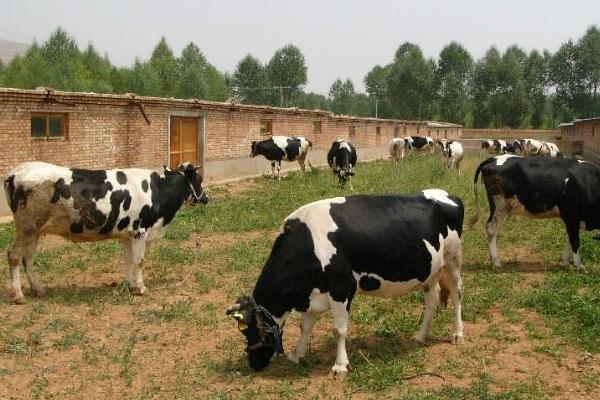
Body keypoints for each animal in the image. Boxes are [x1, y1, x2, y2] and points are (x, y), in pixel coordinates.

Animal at [4, 160, 209, 304]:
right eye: (199, 179)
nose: (206, 198)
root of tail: (15, 172)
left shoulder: (128, 234)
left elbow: (128, 261)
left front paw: (129, 285)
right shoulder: (140, 231)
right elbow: (139, 261)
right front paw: (141, 288)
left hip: (34, 230)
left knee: (28, 257)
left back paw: (37, 289)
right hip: (27, 227)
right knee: (14, 255)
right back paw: (18, 295)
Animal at [225, 191, 464, 378]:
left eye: (249, 331)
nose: (253, 363)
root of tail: (448, 195)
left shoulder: (341, 290)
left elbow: (339, 330)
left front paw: (340, 366)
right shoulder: (315, 293)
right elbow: (305, 326)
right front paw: (296, 355)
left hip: (453, 260)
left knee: (456, 293)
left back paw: (458, 334)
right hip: (431, 270)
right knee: (432, 299)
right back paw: (420, 337)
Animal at [472, 154, 600, 272]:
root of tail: (494, 158)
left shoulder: (574, 221)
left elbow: (569, 239)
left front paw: (565, 263)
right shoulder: (571, 216)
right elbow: (575, 241)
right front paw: (579, 266)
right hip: (500, 205)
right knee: (491, 228)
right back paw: (496, 262)